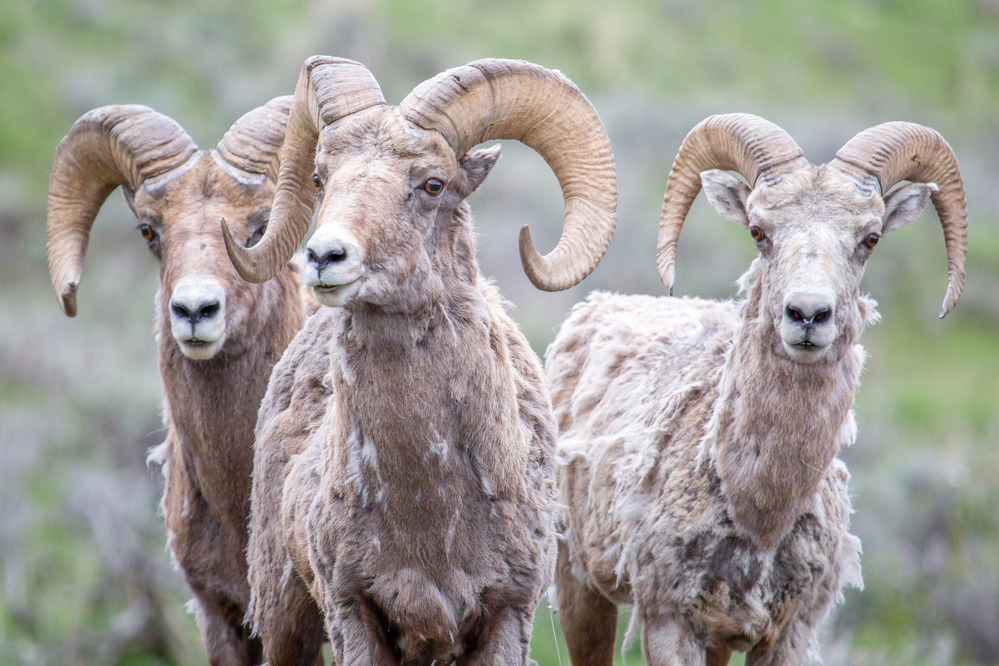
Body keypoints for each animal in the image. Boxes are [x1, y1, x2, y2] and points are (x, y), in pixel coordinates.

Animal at [219, 55, 618, 665]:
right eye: (320, 177)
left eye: (433, 184)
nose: (324, 257)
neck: (429, 514)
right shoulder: (354, 613)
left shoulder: (507, 617)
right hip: (286, 618)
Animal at [546, 113, 968, 665]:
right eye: (757, 231)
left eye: (871, 238)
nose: (808, 314)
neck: (758, 509)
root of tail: (595, 306)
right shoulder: (669, 625)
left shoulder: (788, 634)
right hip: (579, 586)